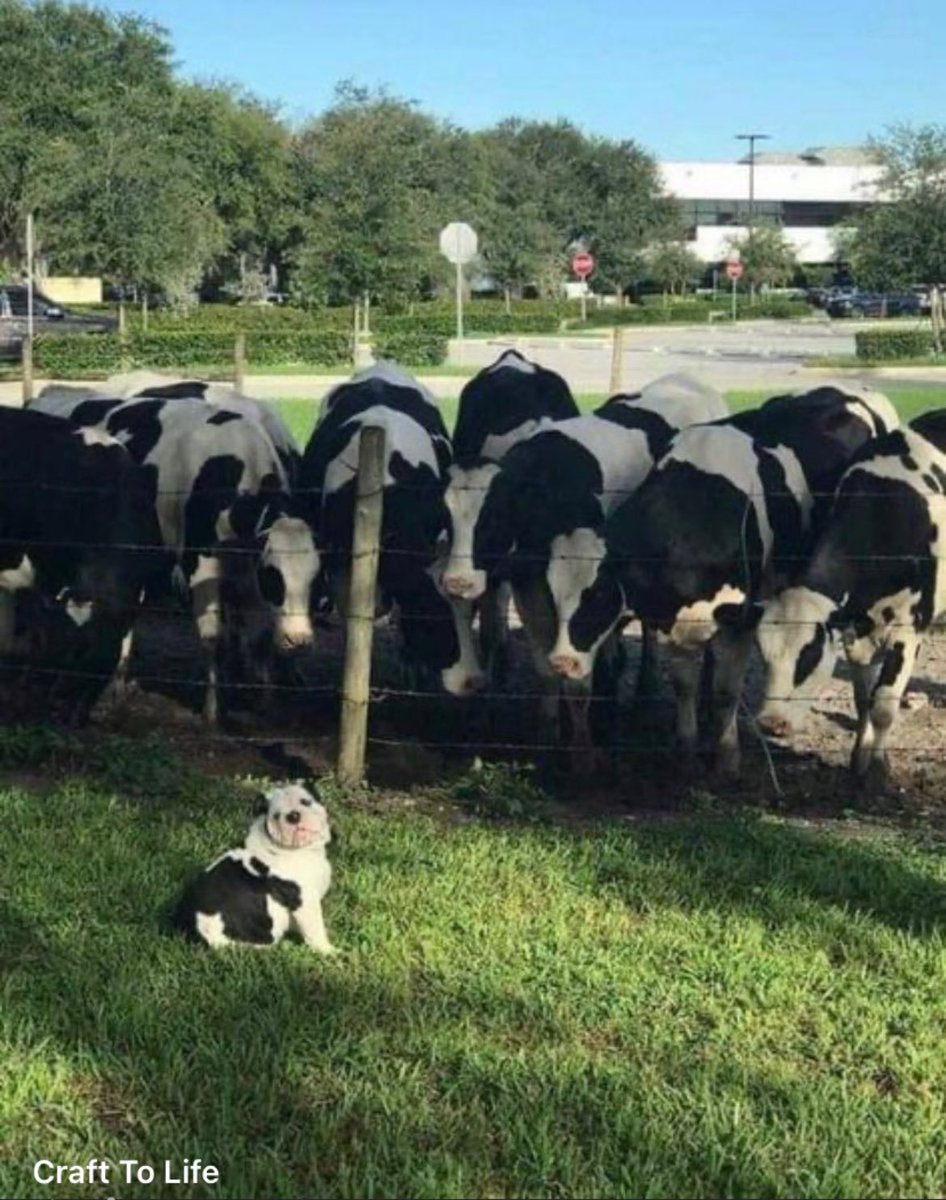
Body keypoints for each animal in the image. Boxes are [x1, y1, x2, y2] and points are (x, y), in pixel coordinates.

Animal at [0, 408, 161, 717]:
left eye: (93, 652)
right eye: (65, 650)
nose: (60, 703)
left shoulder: (134, 596)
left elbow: (124, 647)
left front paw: (114, 695)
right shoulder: (46, 581)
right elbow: (40, 636)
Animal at [30, 392, 319, 723]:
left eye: (315, 577)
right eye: (275, 576)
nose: (298, 640)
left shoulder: (248, 573)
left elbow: (258, 638)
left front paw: (263, 701)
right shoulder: (200, 565)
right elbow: (214, 639)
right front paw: (212, 710)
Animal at [299, 363, 485, 696]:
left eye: (474, 607)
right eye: (429, 613)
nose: (473, 682)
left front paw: (412, 666)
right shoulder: (341, 567)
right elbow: (358, 615)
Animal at [557, 385, 899, 774]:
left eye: (597, 596)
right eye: (552, 596)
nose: (561, 662)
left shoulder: (742, 616)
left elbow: (726, 690)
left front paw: (726, 756)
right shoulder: (675, 619)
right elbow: (684, 684)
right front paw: (686, 749)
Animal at [755, 426, 946, 783]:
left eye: (809, 656)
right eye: (763, 654)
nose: (771, 723)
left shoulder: (909, 629)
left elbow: (883, 705)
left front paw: (880, 770)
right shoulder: (856, 634)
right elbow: (862, 700)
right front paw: (859, 759)